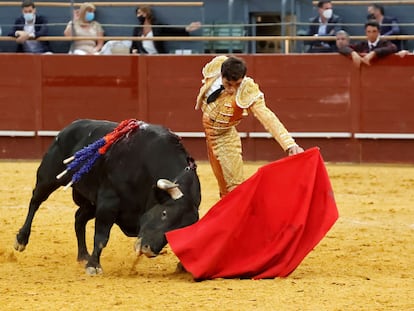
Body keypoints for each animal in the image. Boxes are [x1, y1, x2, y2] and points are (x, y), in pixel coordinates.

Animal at [15, 120, 202, 276]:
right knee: (35, 201)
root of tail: (68, 128)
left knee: (79, 218)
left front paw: (183, 266)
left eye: (178, 230)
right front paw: (93, 266)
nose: (149, 249)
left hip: (91, 202)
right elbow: (101, 236)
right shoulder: (108, 202)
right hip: (49, 177)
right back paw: (21, 239)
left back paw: (83, 255)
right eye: (164, 214)